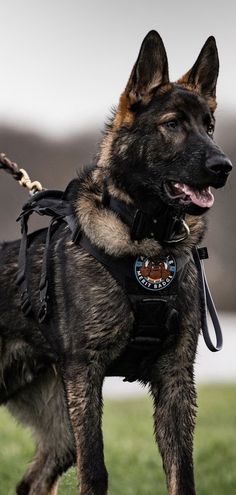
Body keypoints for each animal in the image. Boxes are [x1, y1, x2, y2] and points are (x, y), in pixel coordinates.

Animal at [0, 31, 232, 495]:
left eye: (209, 126)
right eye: (173, 124)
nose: (224, 166)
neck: (147, 240)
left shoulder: (176, 381)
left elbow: (183, 472)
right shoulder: (86, 376)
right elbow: (95, 470)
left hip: (59, 431)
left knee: (32, 481)